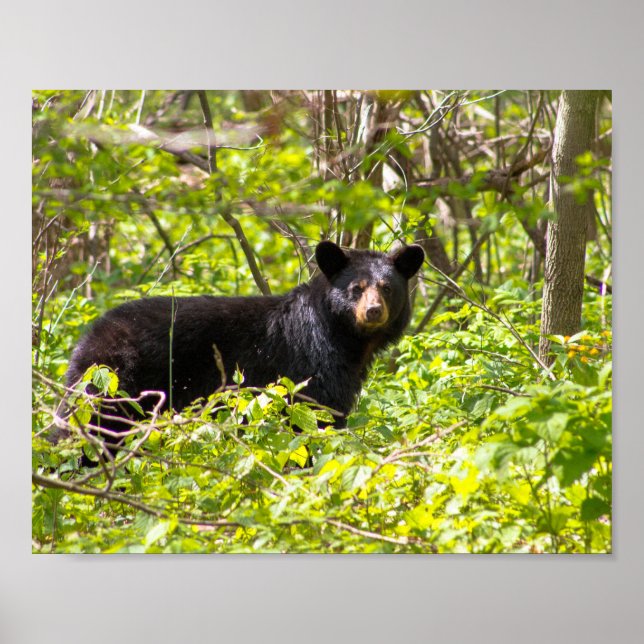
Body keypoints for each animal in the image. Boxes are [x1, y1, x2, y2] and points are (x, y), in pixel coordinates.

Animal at [64, 240, 424, 445]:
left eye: (387, 287)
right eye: (356, 288)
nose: (374, 310)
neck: (346, 340)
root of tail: (89, 337)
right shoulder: (311, 365)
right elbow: (315, 417)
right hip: (118, 382)